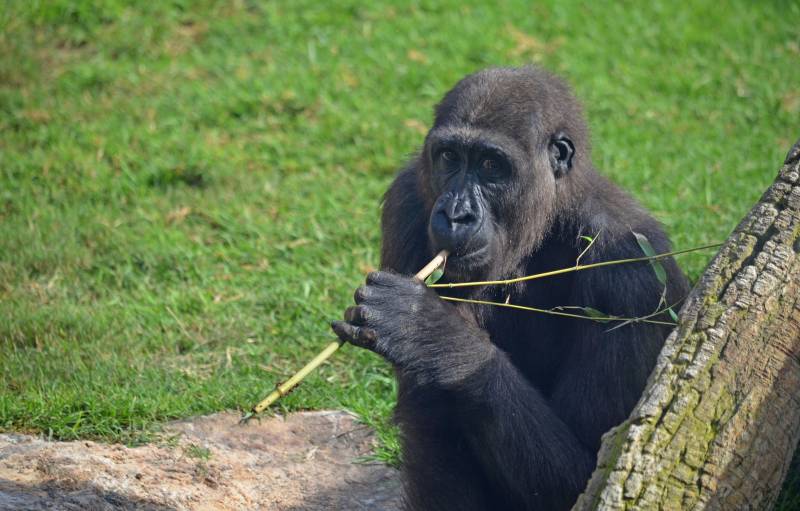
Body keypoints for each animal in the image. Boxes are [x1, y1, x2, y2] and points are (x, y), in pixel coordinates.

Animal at [332, 68, 688, 511]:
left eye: (491, 165)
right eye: (449, 158)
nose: (456, 214)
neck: (549, 216)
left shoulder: (631, 268)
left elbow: (590, 469)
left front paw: (432, 334)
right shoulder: (407, 200)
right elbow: (431, 420)